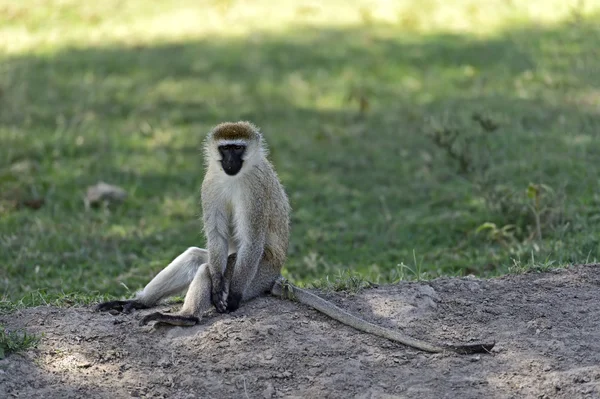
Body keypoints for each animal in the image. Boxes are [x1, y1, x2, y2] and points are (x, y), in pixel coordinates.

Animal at [96, 120, 494, 354]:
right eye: (225, 149)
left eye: (238, 149)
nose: (230, 162)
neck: (234, 177)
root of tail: (277, 277)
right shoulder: (210, 184)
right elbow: (217, 237)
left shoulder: (255, 192)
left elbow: (252, 240)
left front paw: (231, 299)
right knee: (201, 259)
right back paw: (138, 303)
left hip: (258, 274)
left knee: (212, 269)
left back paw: (188, 317)